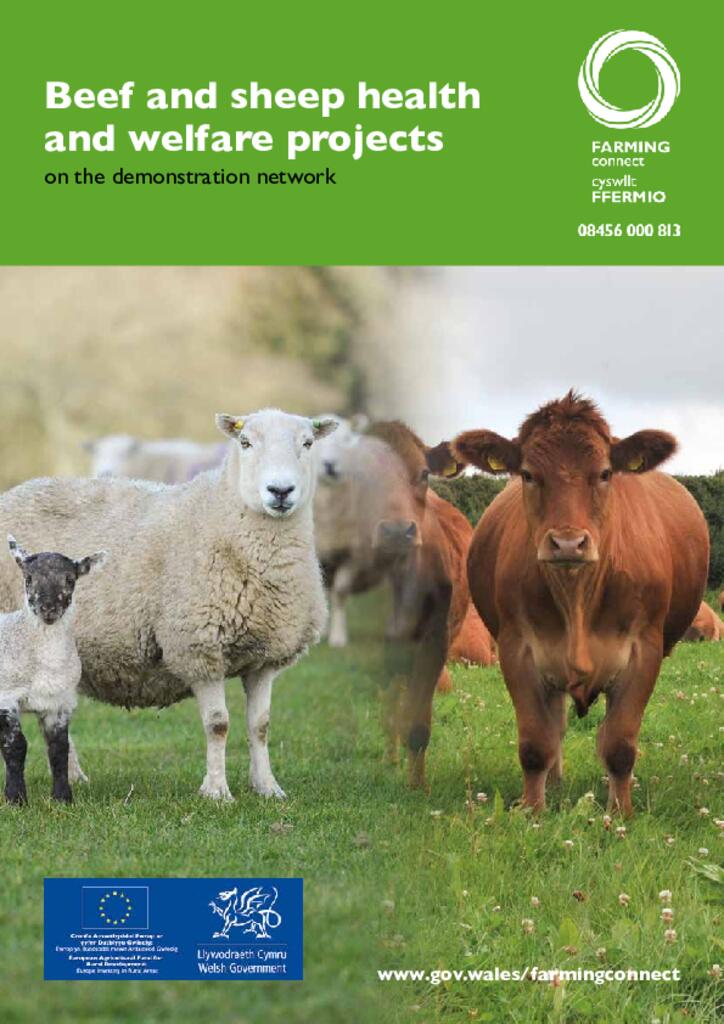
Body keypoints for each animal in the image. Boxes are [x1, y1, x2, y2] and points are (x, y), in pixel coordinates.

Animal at [0, 536, 106, 804]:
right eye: (28, 579)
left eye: (70, 579)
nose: (48, 608)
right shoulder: (6, 696)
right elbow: (16, 746)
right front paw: (16, 799)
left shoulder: (59, 701)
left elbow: (59, 750)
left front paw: (63, 798)